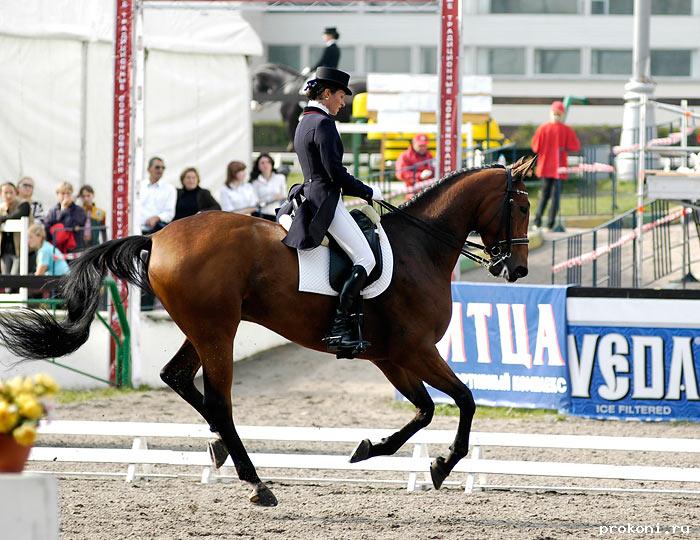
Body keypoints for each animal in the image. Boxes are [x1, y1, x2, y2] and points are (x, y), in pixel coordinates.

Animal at [0, 156, 532, 506]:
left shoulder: (390, 356)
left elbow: (424, 410)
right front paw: (442, 465)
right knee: (218, 400)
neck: (421, 249)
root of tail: (157, 235)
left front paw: (371, 449)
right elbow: (463, 400)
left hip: (203, 327)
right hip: (218, 331)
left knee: (177, 377)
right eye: (521, 207)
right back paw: (256, 481)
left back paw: (219, 448)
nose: (518, 270)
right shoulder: (415, 350)